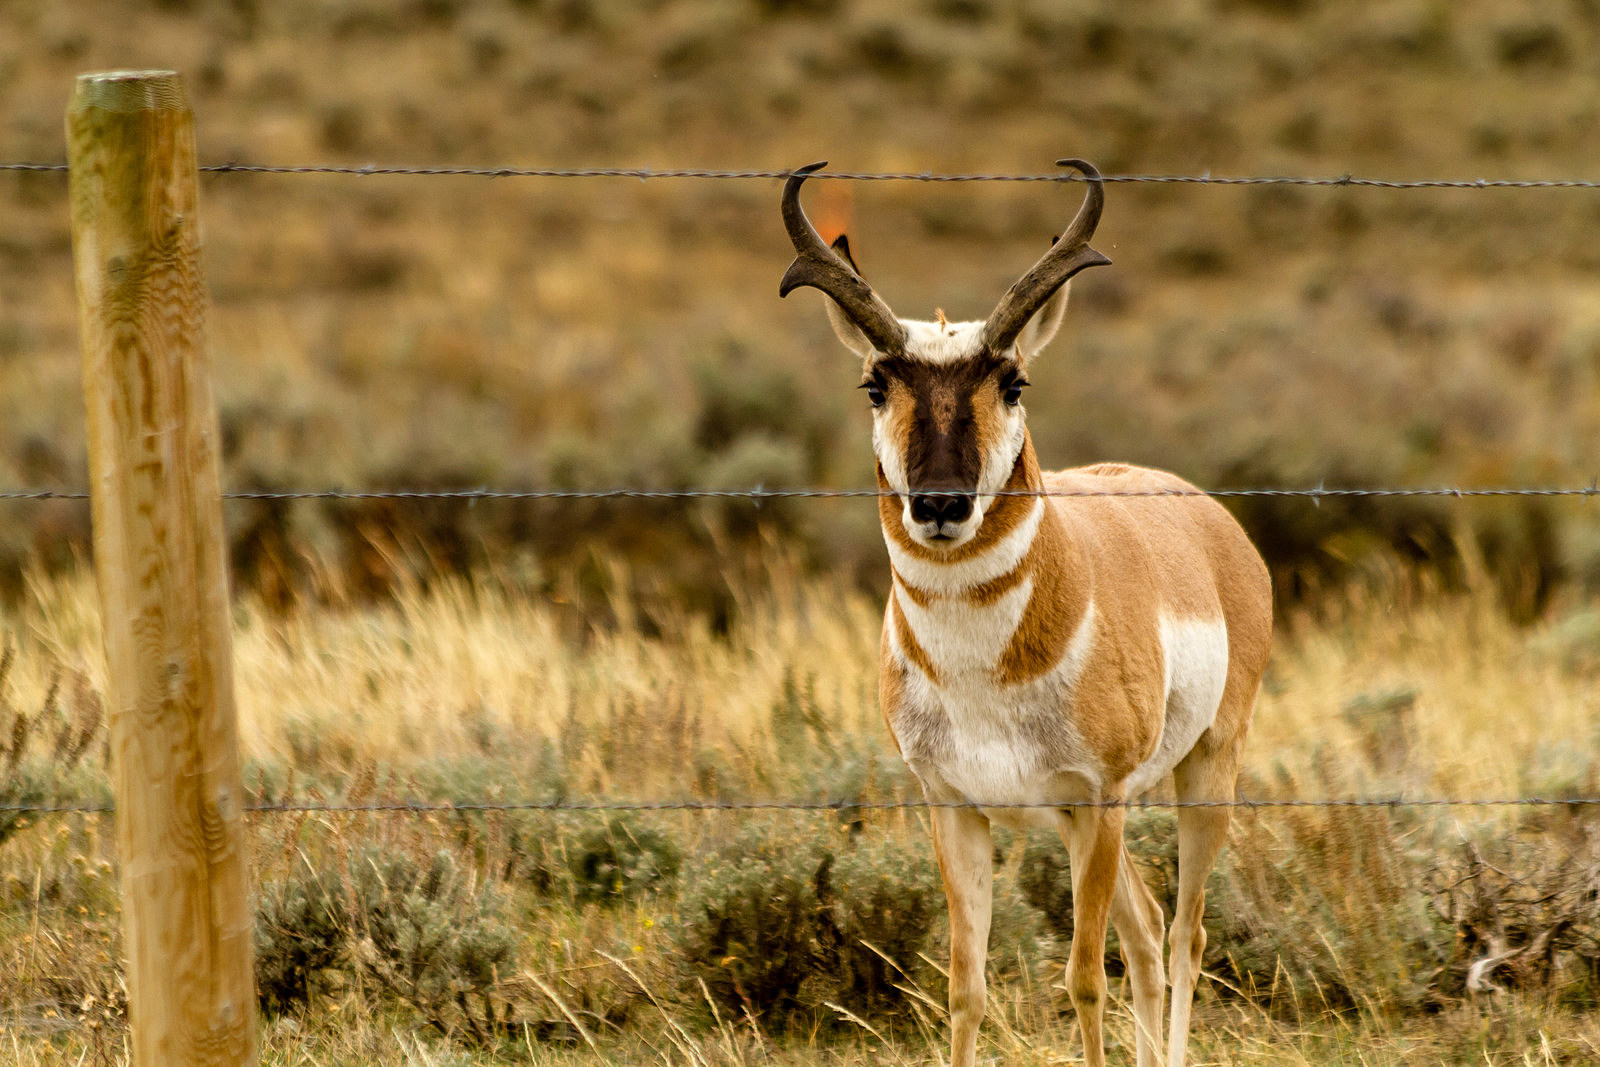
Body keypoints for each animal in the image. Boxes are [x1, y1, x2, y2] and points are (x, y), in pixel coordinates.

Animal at [777, 160, 1273, 1067]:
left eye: (1013, 382)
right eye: (875, 384)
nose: (940, 503)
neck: (981, 675)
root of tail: (1203, 515)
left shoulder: (1096, 800)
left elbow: (1083, 978)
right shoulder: (955, 808)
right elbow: (964, 985)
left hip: (1202, 775)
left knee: (1183, 935)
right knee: (1148, 930)